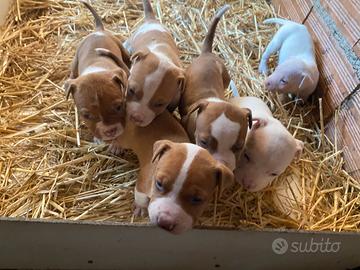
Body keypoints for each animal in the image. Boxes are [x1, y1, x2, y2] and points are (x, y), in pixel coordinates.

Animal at [65, 1, 131, 141]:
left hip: (121, 48)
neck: (95, 69)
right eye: (86, 115)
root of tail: (98, 30)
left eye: (119, 107)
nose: (110, 131)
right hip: (76, 59)